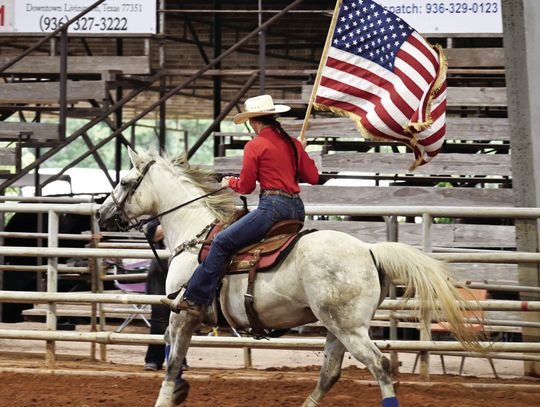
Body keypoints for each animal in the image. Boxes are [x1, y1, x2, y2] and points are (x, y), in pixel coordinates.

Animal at [97, 150, 480, 407]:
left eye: (125, 182)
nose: (101, 213)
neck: (196, 232)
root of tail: (370, 250)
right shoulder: (185, 317)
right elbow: (169, 348)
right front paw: (179, 390)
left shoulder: (185, 312)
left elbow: (173, 357)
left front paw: (168, 395)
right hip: (338, 327)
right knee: (330, 373)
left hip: (349, 328)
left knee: (379, 365)